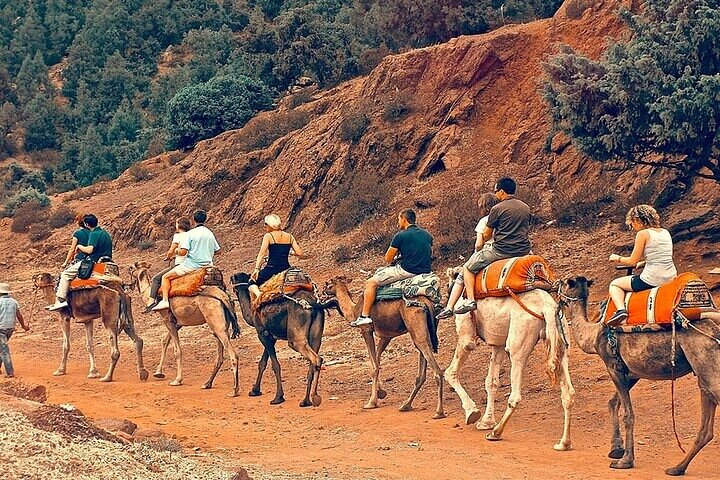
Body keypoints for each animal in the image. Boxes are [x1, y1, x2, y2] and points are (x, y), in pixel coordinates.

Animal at [128, 263, 241, 397]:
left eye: (132, 268)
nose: (128, 284)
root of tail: (223, 296)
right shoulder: (177, 323)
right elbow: (164, 341)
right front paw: (158, 373)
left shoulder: (167, 319)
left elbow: (177, 350)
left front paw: (177, 380)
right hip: (219, 323)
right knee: (219, 356)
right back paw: (207, 384)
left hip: (215, 321)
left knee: (233, 354)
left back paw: (234, 390)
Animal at [232, 272, 334, 407]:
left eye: (233, 279)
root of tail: (313, 304)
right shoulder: (270, 337)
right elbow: (262, 363)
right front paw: (255, 390)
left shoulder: (262, 334)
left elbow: (275, 365)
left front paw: (278, 397)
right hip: (316, 336)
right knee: (314, 360)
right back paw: (306, 400)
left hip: (295, 337)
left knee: (315, 358)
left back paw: (314, 398)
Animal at [323, 275, 445, 419]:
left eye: (328, 284)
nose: (322, 291)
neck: (353, 311)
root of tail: (426, 302)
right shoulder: (386, 336)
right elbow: (376, 360)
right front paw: (381, 393)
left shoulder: (366, 330)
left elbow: (373, 366)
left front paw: (371, 402)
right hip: (426, 328)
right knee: (422, 366)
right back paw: (406, 405)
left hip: (415, 325)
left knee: (436, 368)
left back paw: (439, 412)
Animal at [442, 270, 575, 450]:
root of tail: (548, 307)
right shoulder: (497, 344)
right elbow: (491, 382)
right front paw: (486, 421)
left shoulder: (466, 337)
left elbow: (450, 372)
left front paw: (472, 413)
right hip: (561, 338)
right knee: (568, 392)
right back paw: (563, 443)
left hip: (518, 340)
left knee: (515, 394)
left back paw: (495, 433)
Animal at [558, 276, 720, 475]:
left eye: (564, 283)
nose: (554, 286)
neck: (593, 334)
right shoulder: (632, 372)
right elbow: (613, 403)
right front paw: (616, 449)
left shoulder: (613, 366)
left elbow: (628, 414)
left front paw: (625, 461)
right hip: (703, 371)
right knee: (706, 427)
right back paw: (677, 468)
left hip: (705, 360)